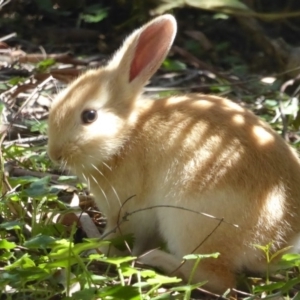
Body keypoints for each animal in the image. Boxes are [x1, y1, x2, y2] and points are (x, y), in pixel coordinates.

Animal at [47, 14, 300, 292]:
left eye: (89, 116)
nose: (55, 153)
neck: (127, 135)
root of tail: (281, 242)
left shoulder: (127, 211)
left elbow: (119, 237)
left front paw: (98, 249)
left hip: (191, 223)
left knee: (216, 278)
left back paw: (154, 259)